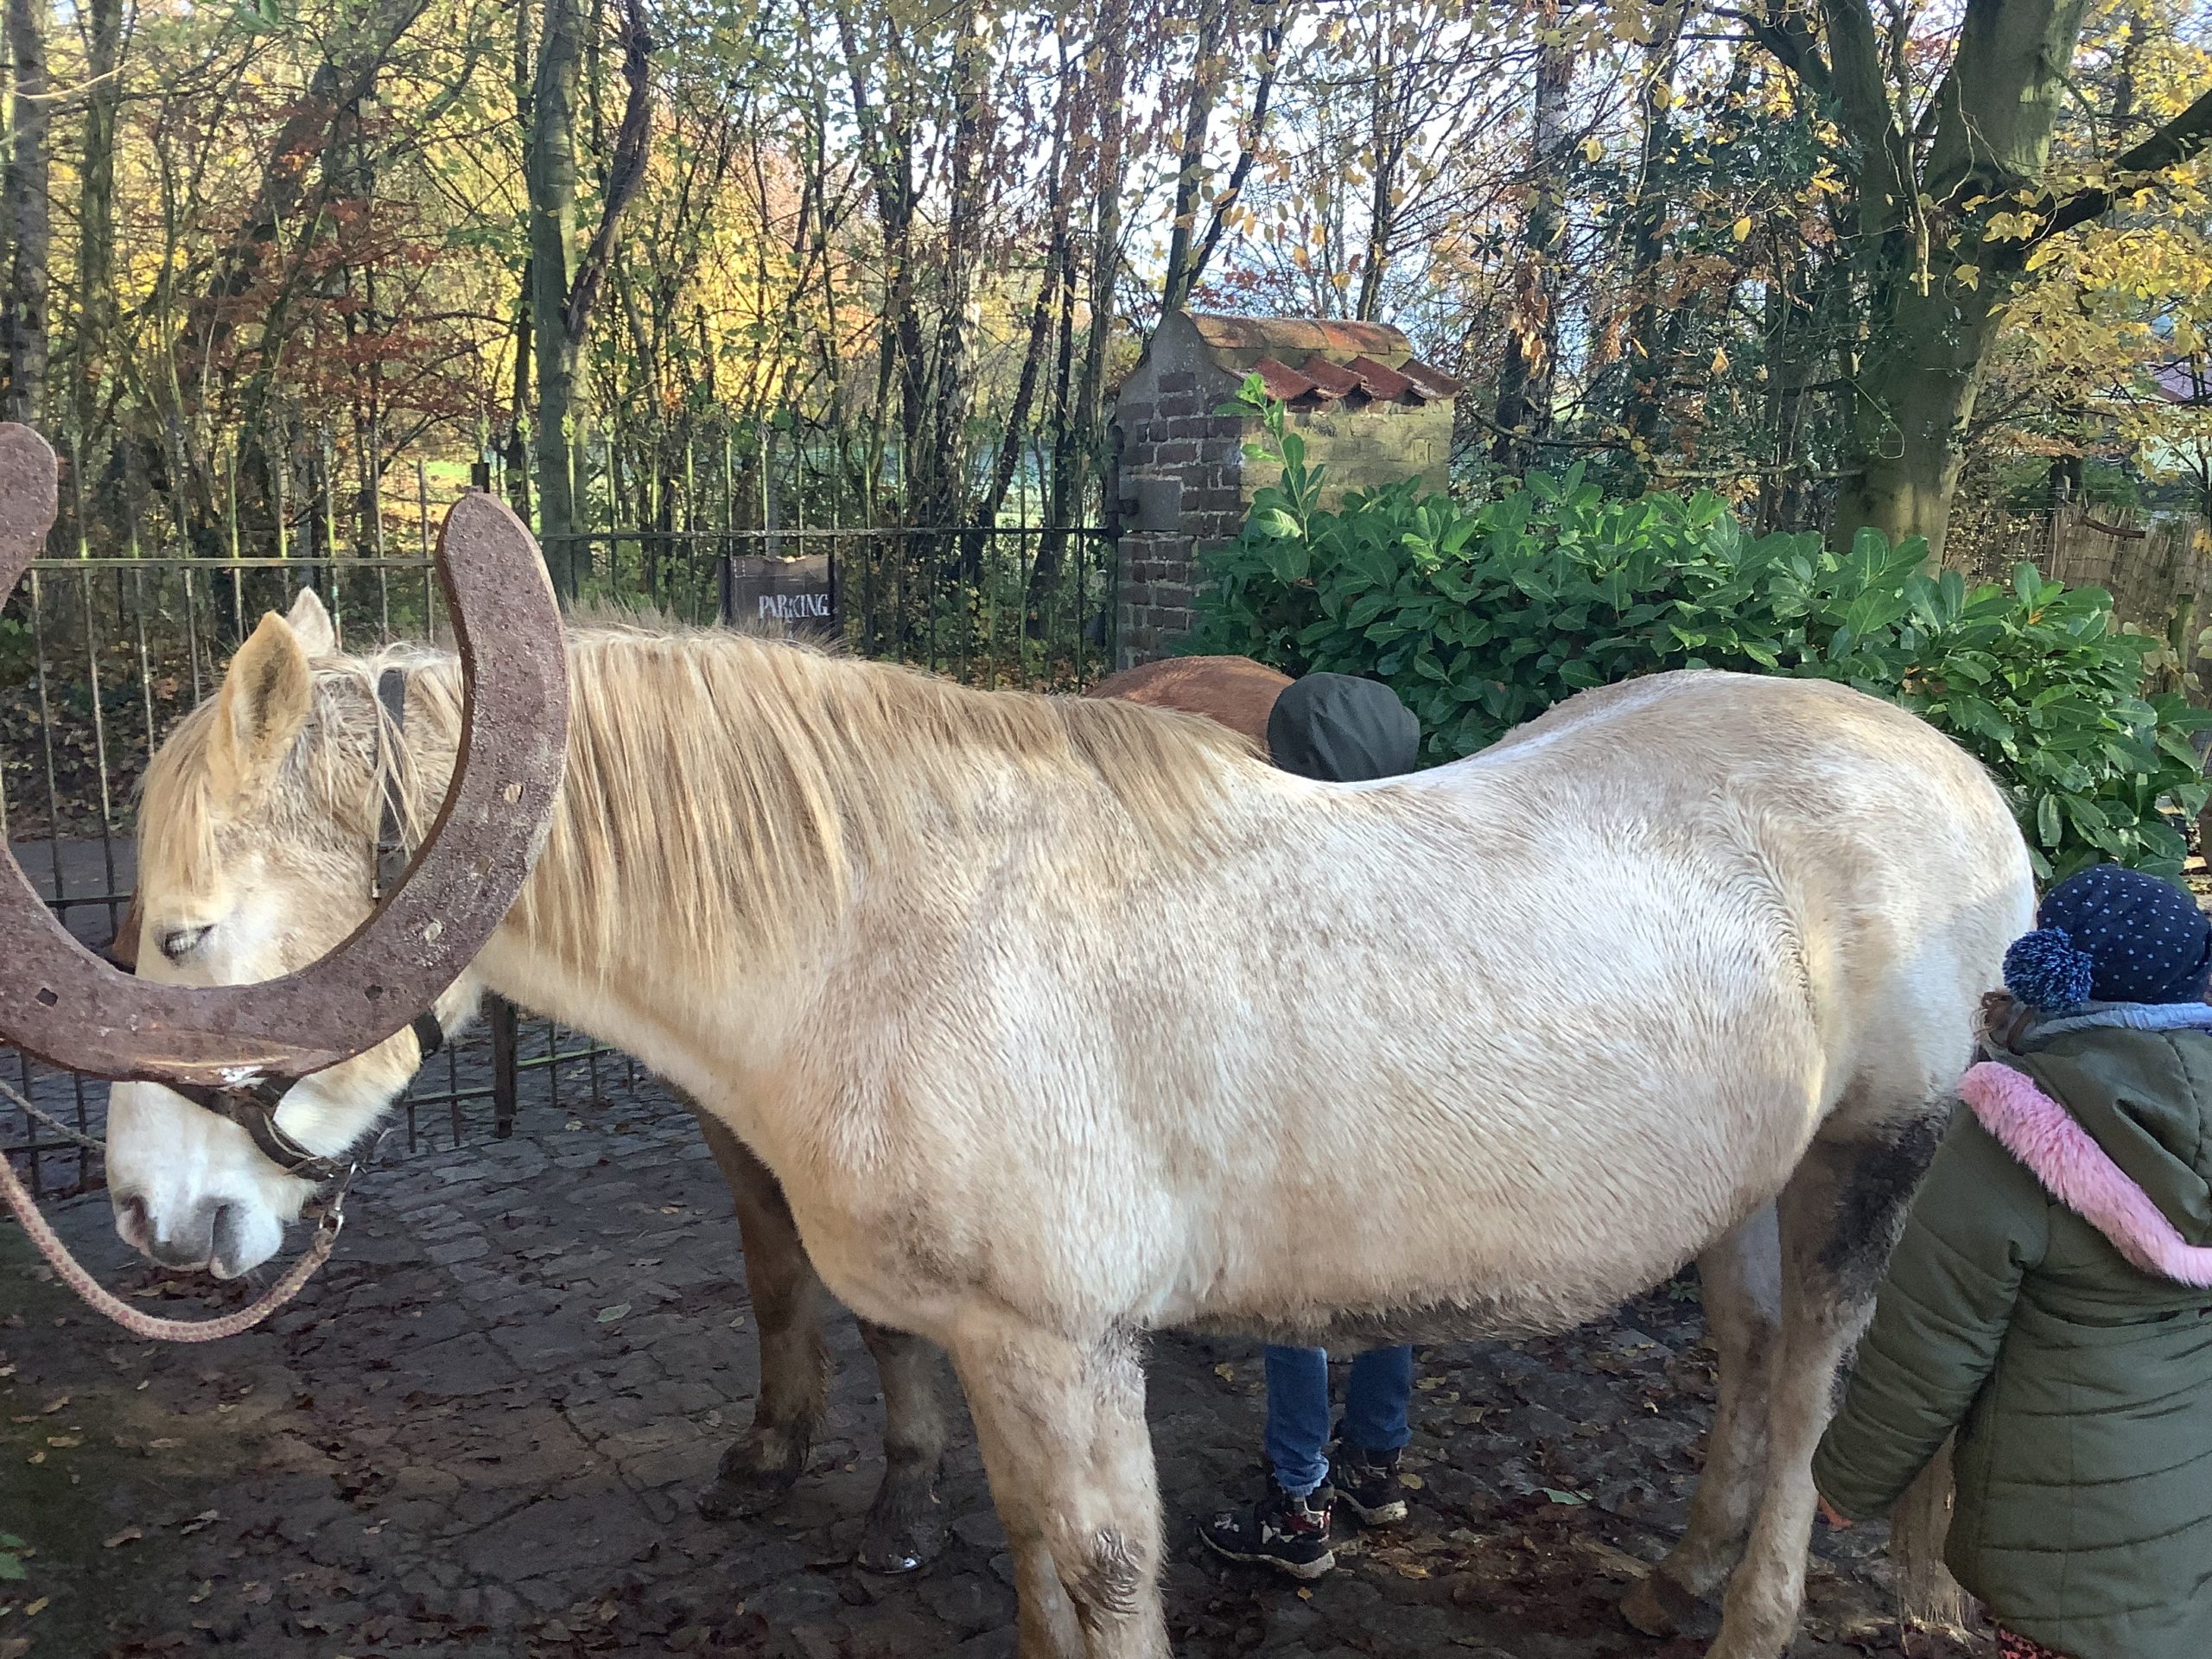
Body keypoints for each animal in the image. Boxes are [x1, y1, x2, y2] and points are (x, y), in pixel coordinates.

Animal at [102, 590, 2028, 1659]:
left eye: (185, 939)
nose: (146, 1216)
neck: (891, 935)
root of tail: (1955, 779)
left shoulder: (1058, 1346)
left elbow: (1096, 1585)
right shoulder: (994, 1353)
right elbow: (1034, 1573)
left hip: (1873, 1157)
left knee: (1814, 1395)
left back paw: (1752, 1615)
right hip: (1744, 1184)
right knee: (1747, 1359)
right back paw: (1674, 1576)